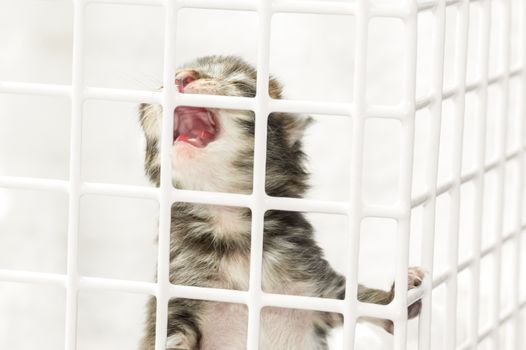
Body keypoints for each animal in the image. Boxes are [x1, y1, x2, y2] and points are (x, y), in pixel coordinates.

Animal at [139, 55, 424, 350]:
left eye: (237, 81)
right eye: (163, 83)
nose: (181, 78)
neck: (230, 226)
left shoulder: (317, 284)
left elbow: (358, 300)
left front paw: (398, 295)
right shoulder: (174, 300)